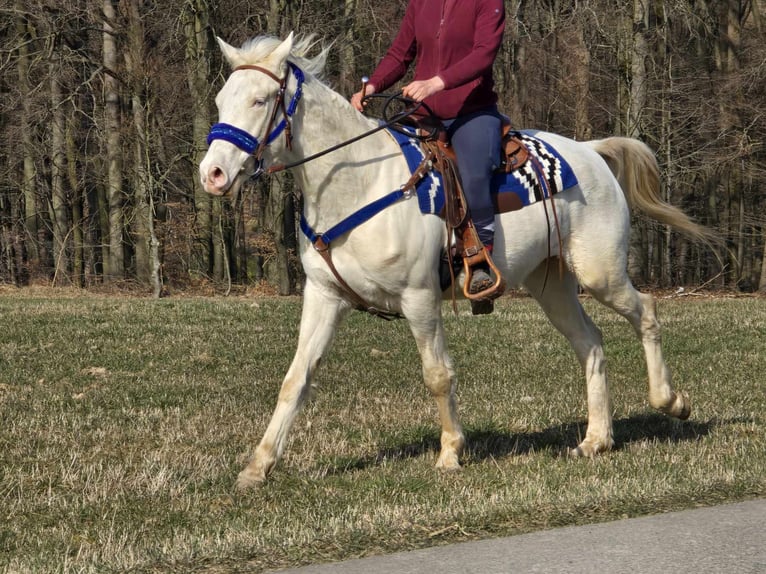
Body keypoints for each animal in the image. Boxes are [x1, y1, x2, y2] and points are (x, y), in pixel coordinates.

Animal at [198, 32, 712, 490]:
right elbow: (295, 379)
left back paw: (671, 402)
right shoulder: (324, 298)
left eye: (261, 100)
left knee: (646, 312)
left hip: (601, 273)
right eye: (222, 99)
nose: (213, 174)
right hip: (551, 285)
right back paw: (597, 439)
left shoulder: (420, 299)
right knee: (591, 342)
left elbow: (438, 375)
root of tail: (590, 152)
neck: (358, 186)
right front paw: (258, 467)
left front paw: (449, 453)